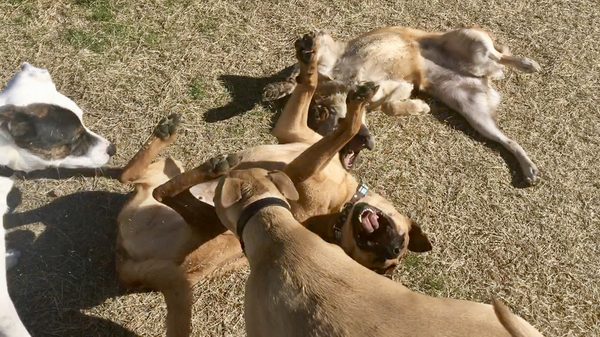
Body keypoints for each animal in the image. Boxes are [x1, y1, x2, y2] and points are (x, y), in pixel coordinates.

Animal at [118, 34, 432, 336]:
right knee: (129, 176)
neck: (343, 206)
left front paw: (355, 106)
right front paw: (309, 60)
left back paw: (210, 166)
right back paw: (168, 136)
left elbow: (348, 128)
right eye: (400, 246)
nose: (390, 249)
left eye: (393, 257)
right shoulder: (293, 131)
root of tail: (130, 266)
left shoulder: (297, 171)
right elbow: (310, 90)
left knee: (159, 191)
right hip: (169, 166)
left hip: (208, 220)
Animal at [264, 26, 540, 184]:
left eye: (335, 122)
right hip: (474, 114)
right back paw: (528, 168)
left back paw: (528, 64)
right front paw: (418, 106)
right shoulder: (395, 87)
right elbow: (388, 105)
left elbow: (309, 61)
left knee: (500, 56)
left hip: (474, 49)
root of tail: (484, 76)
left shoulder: (341, 59)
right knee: (509, 140)